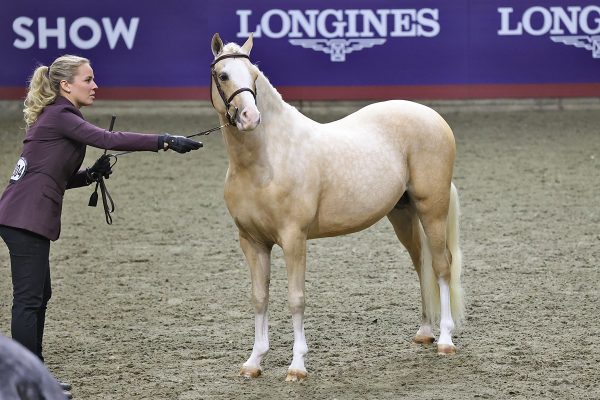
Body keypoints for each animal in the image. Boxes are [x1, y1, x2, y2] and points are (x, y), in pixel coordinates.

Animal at [209, 33, 466, 382]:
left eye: (254, 76)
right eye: (223, 75)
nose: (250, 117)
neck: (268, 159)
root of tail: (433, 117)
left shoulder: (294, 238)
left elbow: (296, 299)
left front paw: (297, 367)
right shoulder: (252, 241)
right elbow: (259, 298)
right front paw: (254, 361)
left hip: (433, 209)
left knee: (442, 266)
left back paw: (445, 340)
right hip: (403, 214)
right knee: (422, 264)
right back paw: (426, 332)